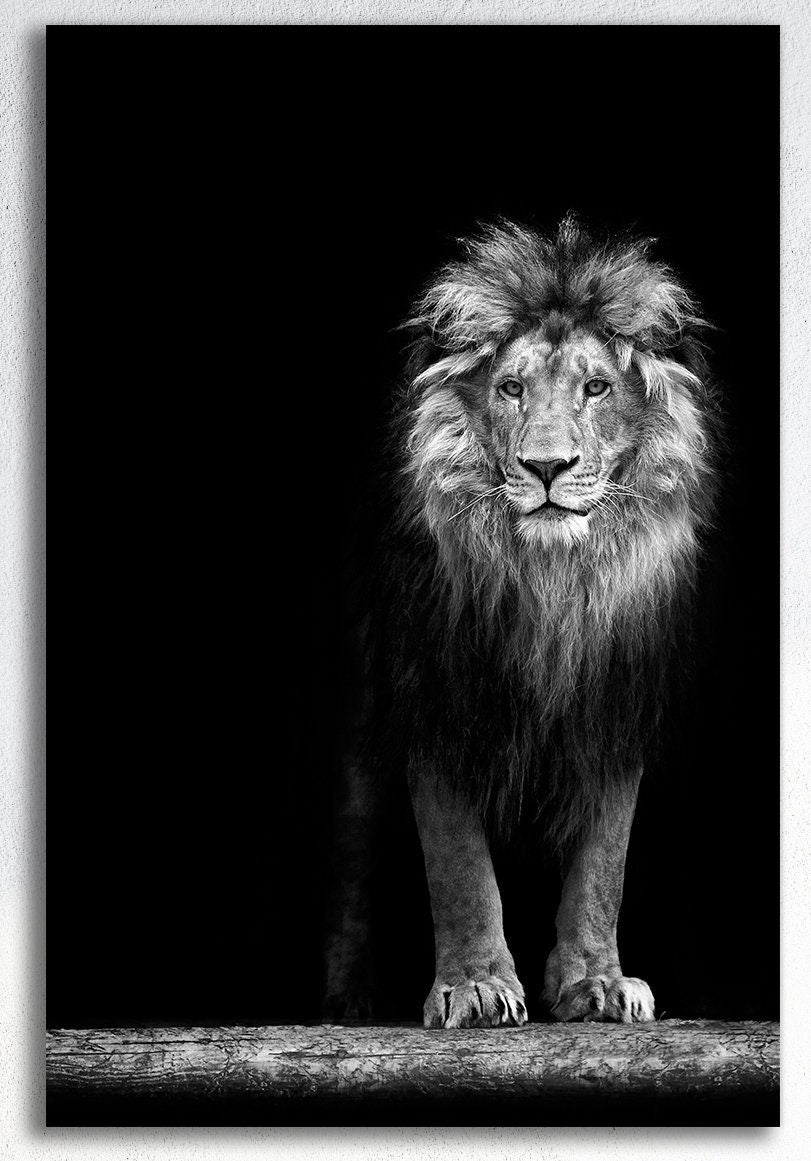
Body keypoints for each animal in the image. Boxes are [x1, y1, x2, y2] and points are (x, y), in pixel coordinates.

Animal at [323, 216, 720, 1028]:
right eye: (510, 388)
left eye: (596, 387)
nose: (545, 467)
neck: (551, 586)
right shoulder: (437, 694)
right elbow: (458, 864)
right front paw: (474, 985)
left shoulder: (614, 704)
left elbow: (603, 862)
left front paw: (597, 983)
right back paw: (348, 999)